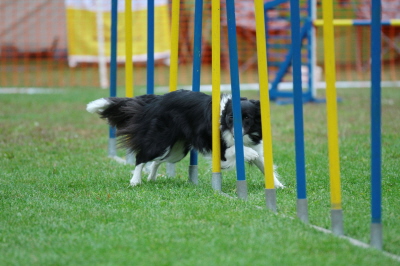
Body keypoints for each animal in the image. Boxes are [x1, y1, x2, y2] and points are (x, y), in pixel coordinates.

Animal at [86, 90, 282, 188]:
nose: (235, 132)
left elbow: (264, 165)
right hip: (160, 141)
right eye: (231, 117)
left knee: (157, 161)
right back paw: (135, 181)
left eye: (247, 118)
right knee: (141, 157)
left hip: (177, 150)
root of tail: (156, 100)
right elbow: (236, 150)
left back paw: (151, 178)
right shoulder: (220, 150)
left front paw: (278, 186)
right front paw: (248, 154)